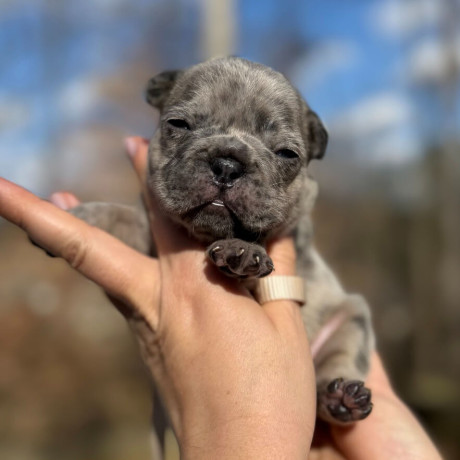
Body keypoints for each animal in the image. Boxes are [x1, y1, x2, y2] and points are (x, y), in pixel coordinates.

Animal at [72, 58, 374, 428]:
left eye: (287, 153)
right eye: (178, 124)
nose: (227, 164)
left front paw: (242, 251)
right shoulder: (149, 229)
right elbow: (127, 219)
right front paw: (87, 215)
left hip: (352, 316)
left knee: (342, 357)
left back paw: (342, 396)